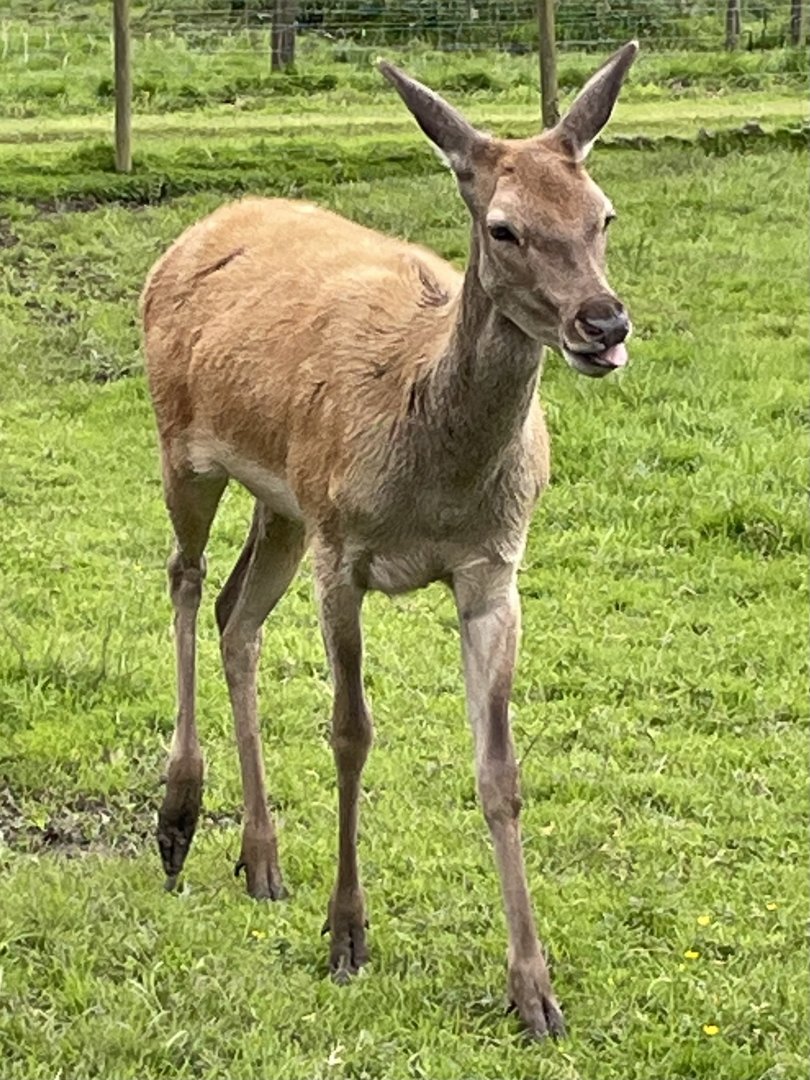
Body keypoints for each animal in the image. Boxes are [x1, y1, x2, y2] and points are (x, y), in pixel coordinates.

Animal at [140, 41, 638, 1037]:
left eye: (603, 213)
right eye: (503, 228)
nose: (603, 325)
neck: (434, 482)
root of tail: (193, 233)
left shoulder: (494, 570)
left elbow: (500, 769)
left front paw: (535, 990)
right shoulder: (345, 553)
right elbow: (350, 732)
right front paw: (347, 937)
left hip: (287, 506)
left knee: (236, 614)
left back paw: (261, 857)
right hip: (188, 447)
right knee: (184, 576)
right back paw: (178, 816)